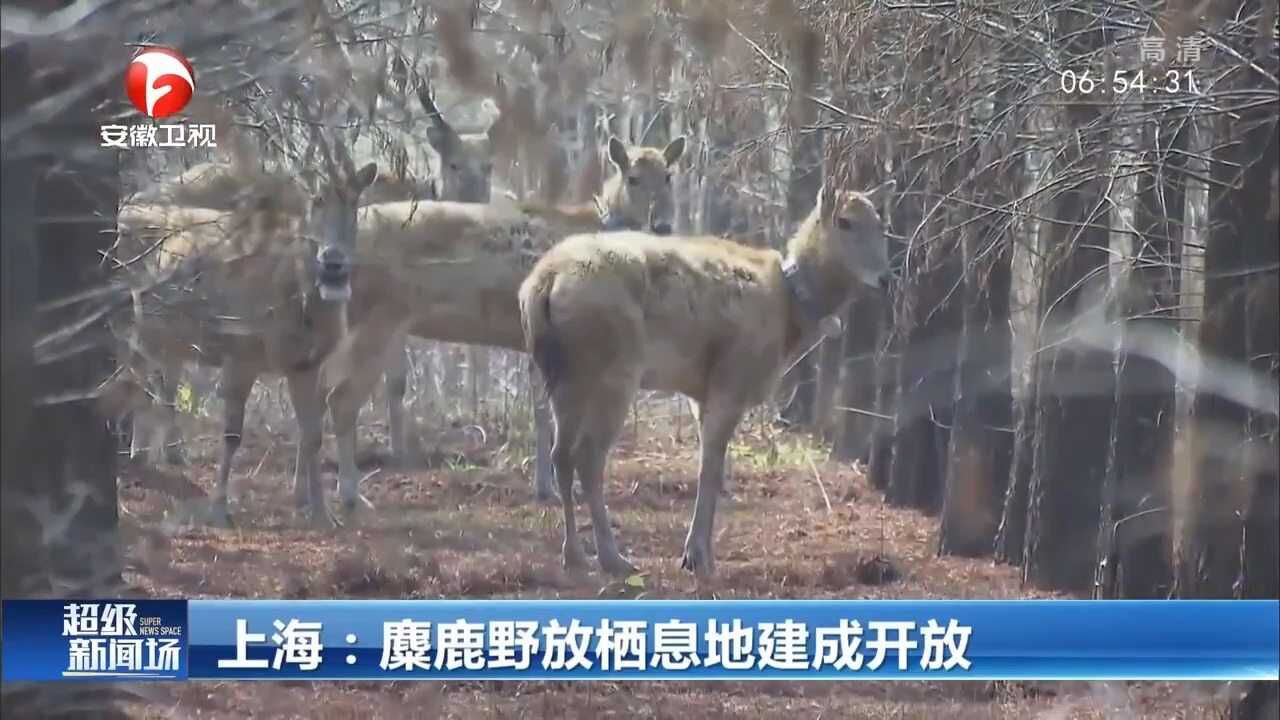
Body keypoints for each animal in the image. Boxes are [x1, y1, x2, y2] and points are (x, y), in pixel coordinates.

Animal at [514, 179, 896, 576]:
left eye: (882, 225)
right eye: (845, 221)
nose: (885, 278)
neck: (791, 312)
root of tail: (541, 285)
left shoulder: (701, 392)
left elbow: (711, 466)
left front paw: (701, 553)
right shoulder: (732, 379)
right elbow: (710, 470)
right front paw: (696, 556)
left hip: (563, 373)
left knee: (561, 454)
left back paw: (573, 554)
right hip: (615, 369)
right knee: (588, 456)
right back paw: (611, 556)